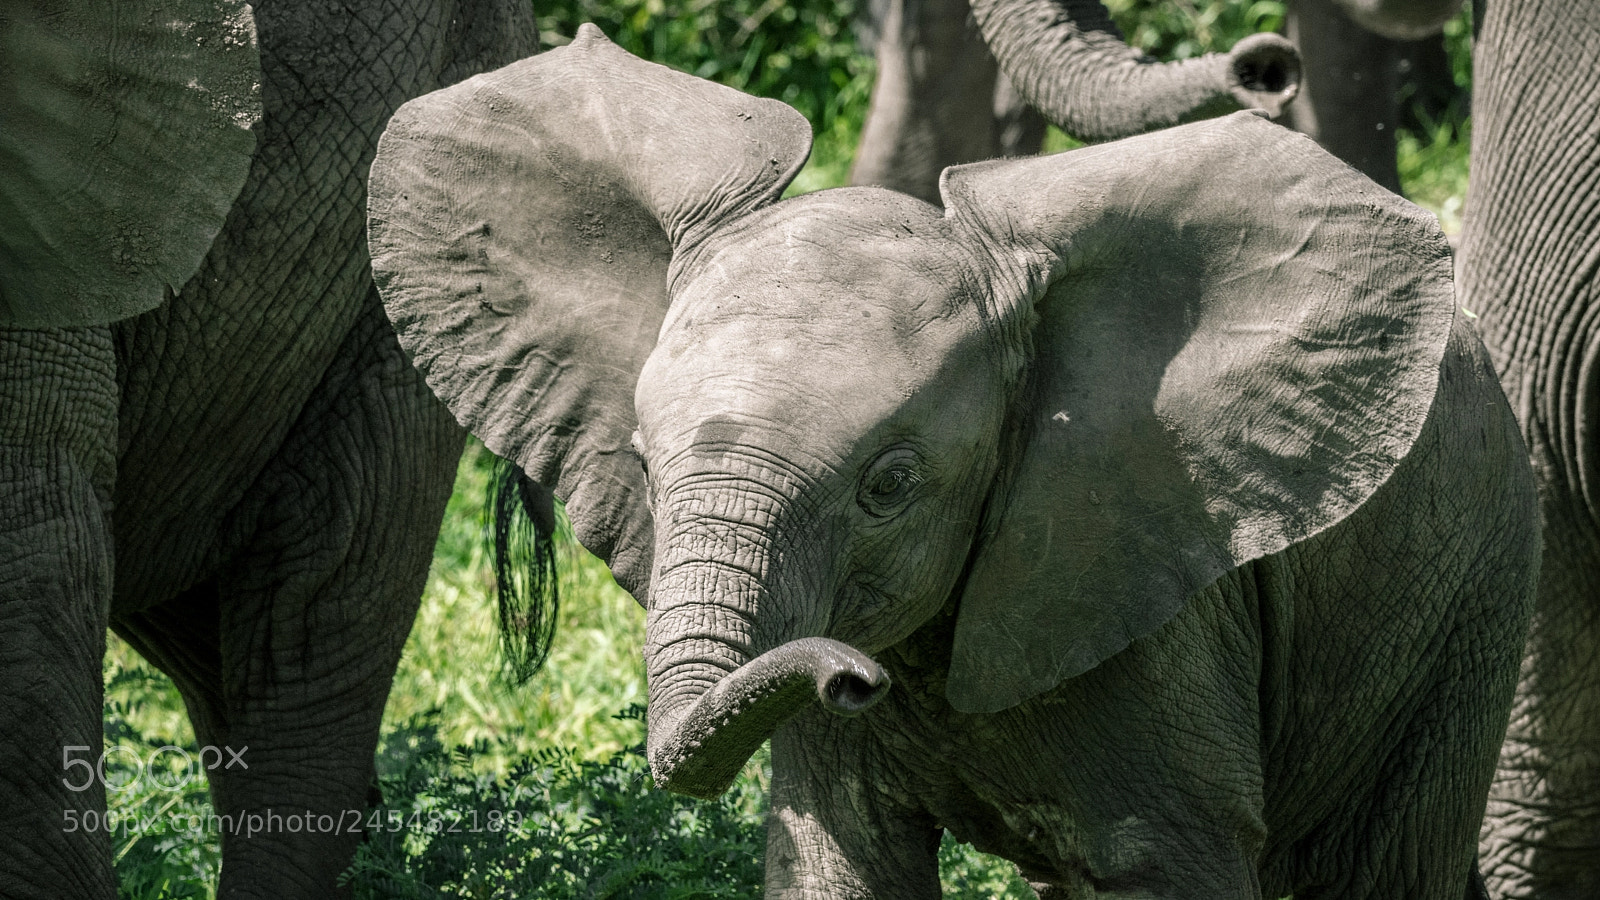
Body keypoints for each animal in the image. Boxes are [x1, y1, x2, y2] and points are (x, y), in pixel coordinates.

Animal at [368, 29, 1539, 897]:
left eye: (889, 486)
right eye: (647, 470)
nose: (848, 674)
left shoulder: (1144, 573)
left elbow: (1163, 862)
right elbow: (836, 859)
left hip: (1470, 583)